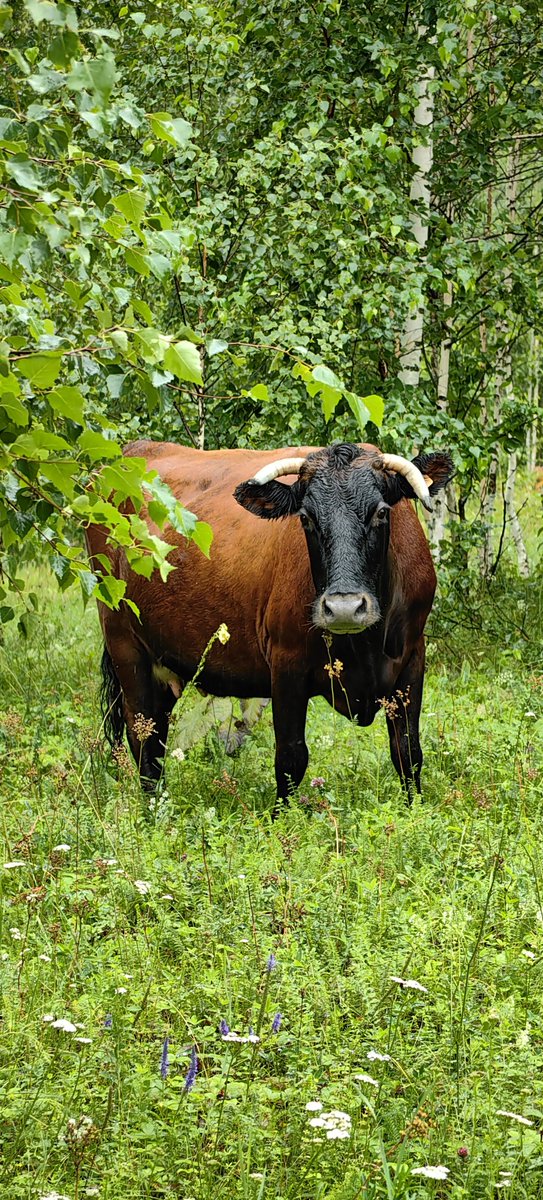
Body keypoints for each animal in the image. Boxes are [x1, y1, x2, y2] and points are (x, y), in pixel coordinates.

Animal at [86, 441, 452, 802]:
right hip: (125, 647)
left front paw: (414, 808)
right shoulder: (286, 663)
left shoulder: (412, 658)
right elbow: (291, 758)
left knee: (156, 735)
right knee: (143, 739)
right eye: (306, 518)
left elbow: (407, 751)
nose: (344, 608)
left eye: (381, 512)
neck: (365, 646)